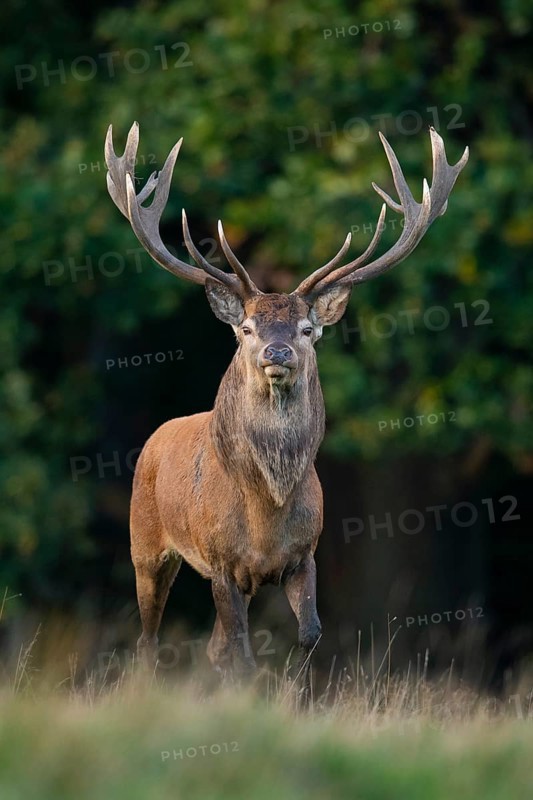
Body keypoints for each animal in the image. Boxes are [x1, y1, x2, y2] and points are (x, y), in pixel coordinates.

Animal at [104, 122, 468, 697]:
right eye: (247, 328)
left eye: (307, 329)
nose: (277, 354)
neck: (266, 511)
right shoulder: (221, 563)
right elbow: (243, 652)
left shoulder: (304, 556)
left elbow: (309, 635)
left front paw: (296, 694)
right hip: (146, 546)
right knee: (149, 639)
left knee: (209, 646)